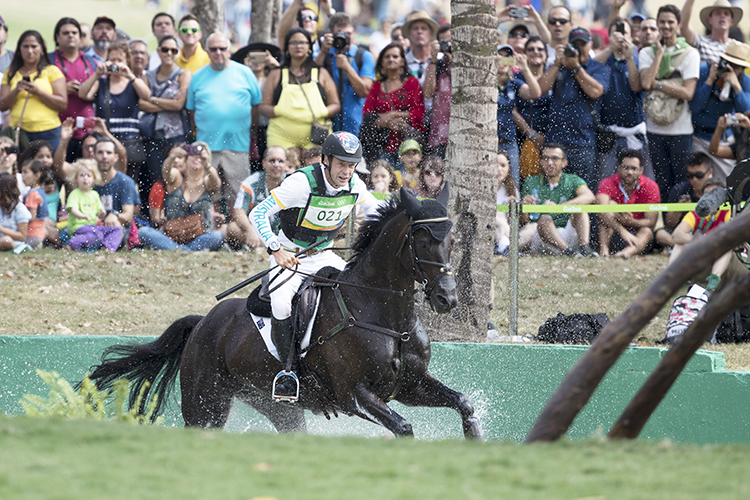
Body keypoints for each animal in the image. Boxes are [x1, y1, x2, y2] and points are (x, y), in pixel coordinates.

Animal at [88, 187, 484, 438]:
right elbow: (403, 427)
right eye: (423, 240)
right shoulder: (354, 394)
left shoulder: (409, 386)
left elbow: (464, 403)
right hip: (205, 405)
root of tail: (202, 324)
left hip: (278, 406)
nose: (447, 298)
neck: (386, 317)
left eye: (452, 240)